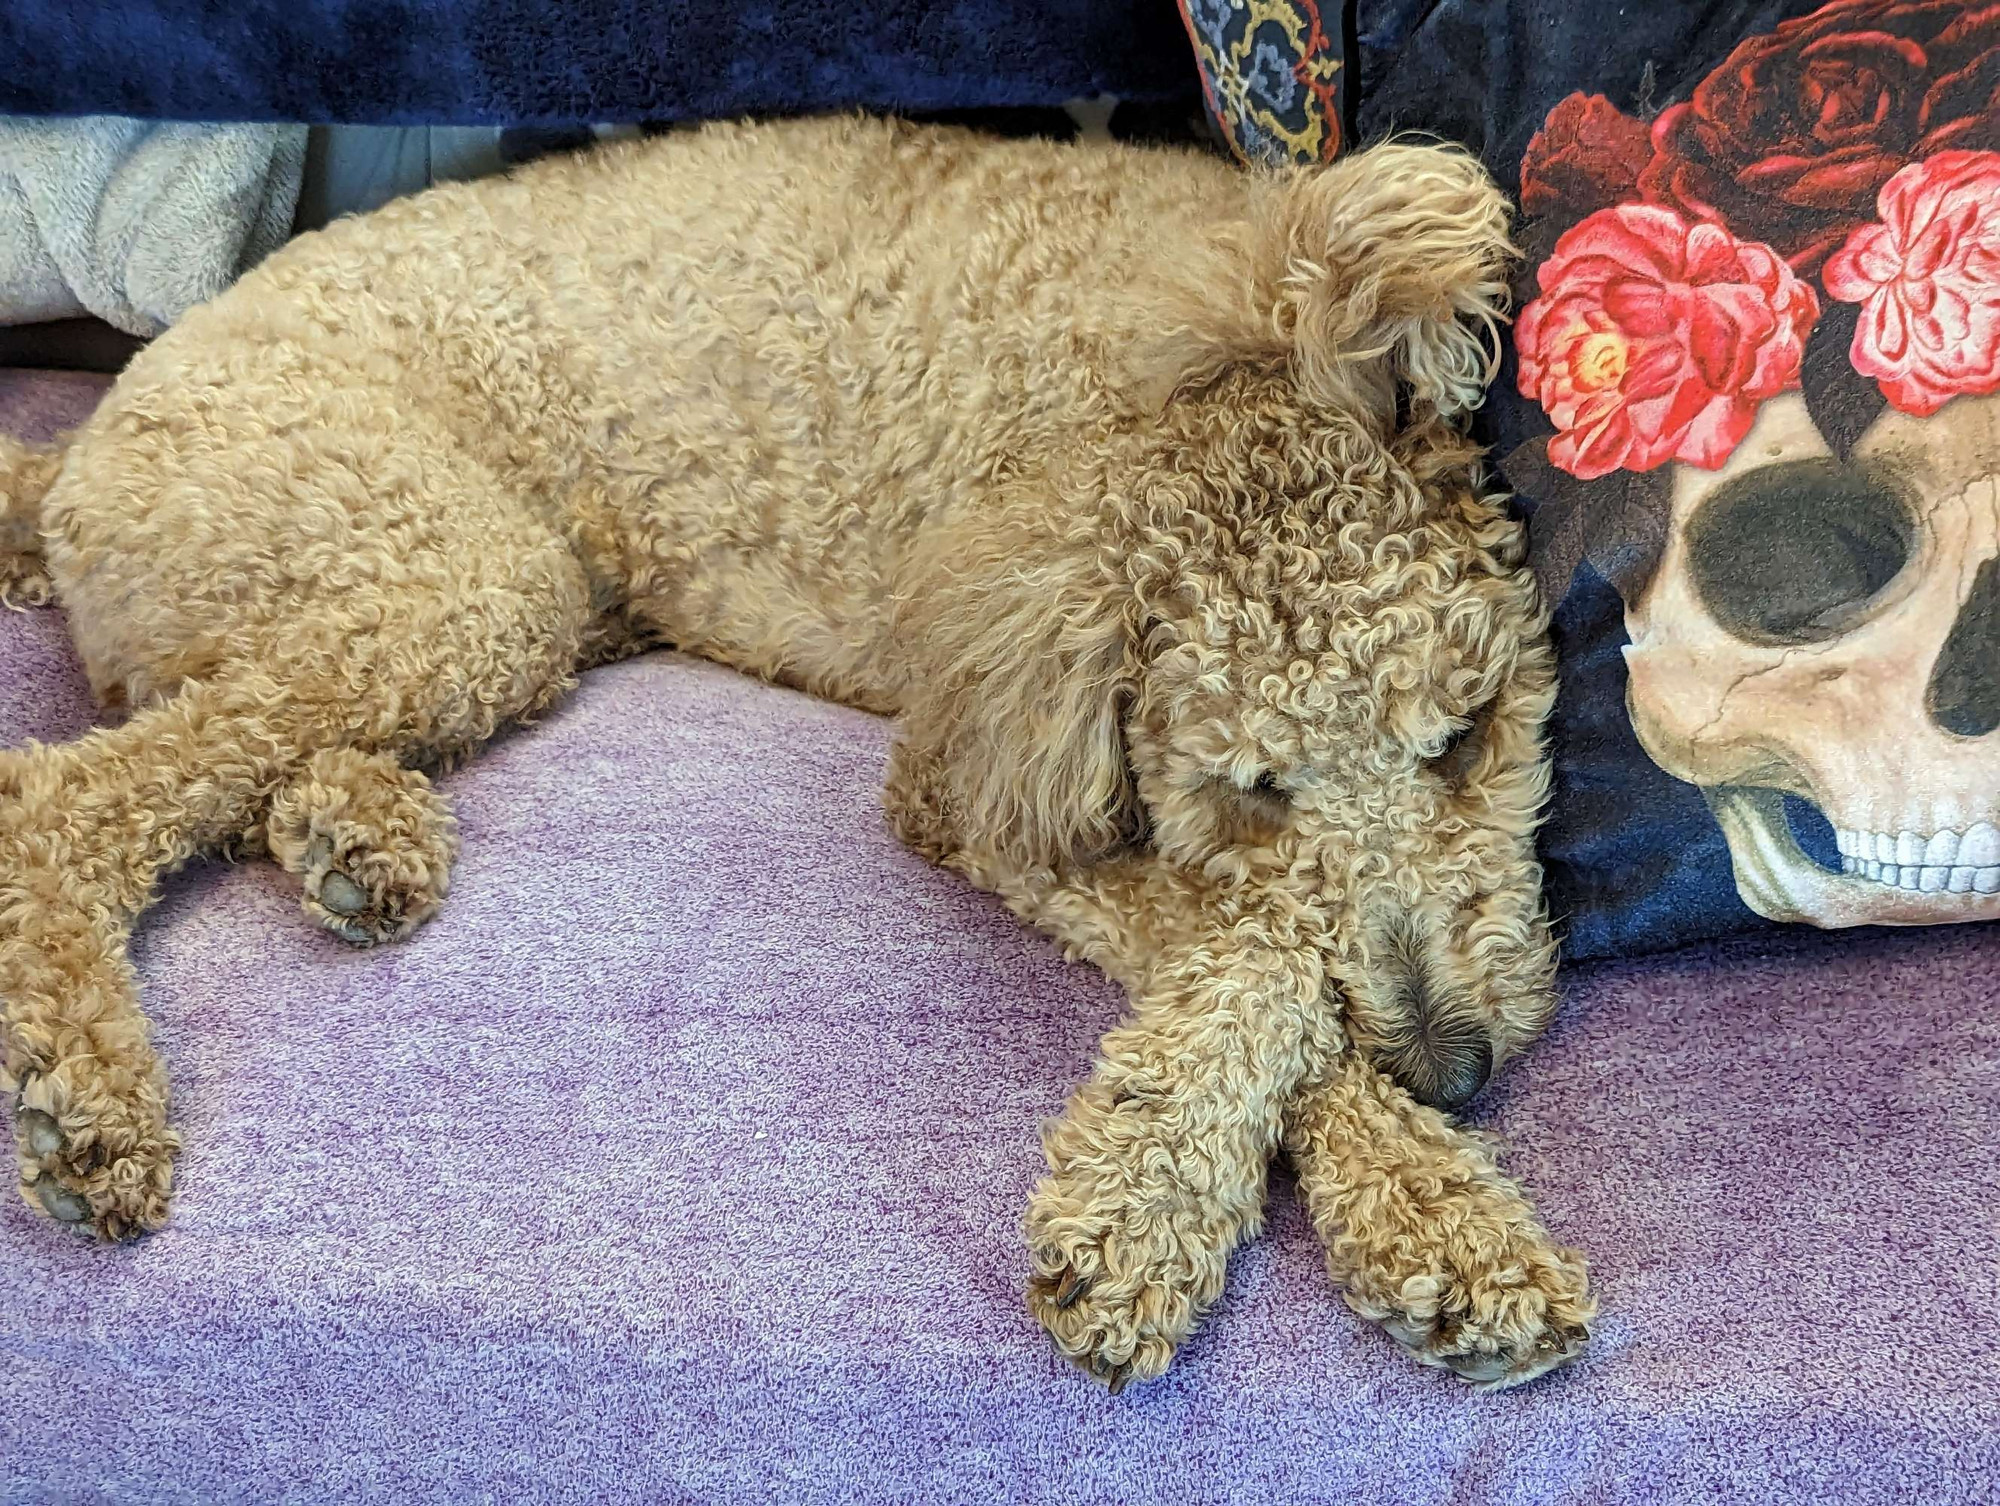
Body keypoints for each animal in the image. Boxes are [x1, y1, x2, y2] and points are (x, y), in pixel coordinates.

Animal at [0, 114, 1592, 1384]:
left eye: (1466, 739)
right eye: (1255, 794)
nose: (1454, 1068)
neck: (1171, 381)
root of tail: (85, 438)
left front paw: (1413, 1203)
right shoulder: (978, 768)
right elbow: (1253, 949)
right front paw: (1218, 1206)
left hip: (466, 603)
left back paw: (353, 838)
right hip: (451, 571)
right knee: (67, 796)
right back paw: (88, 1101)